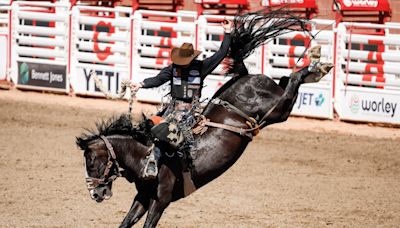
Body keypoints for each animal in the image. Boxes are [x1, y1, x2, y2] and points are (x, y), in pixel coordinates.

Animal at [76, 8, 334, 228]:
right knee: (285, 79)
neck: (143, 154)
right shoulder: (143, 196)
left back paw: (317, 64)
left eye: (91, 162)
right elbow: (125, 222)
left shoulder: (160, 200)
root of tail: (246, 76)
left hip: (278, 109)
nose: (95, 194)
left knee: (292, 84)